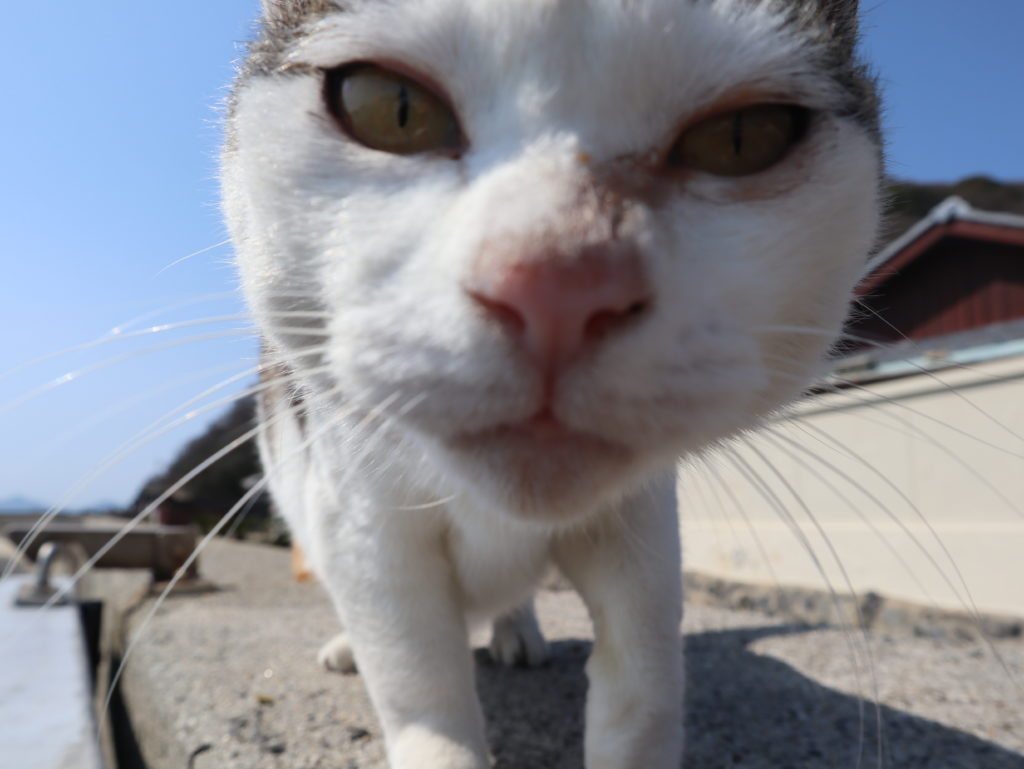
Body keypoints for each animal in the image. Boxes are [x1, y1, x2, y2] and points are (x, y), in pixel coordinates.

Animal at [220, 1, 884, 769]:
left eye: (743, 136)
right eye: (393, 107)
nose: (557, 285)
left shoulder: (640, 518)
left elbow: (645, 676)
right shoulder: (363, 520)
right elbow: (416, 674)